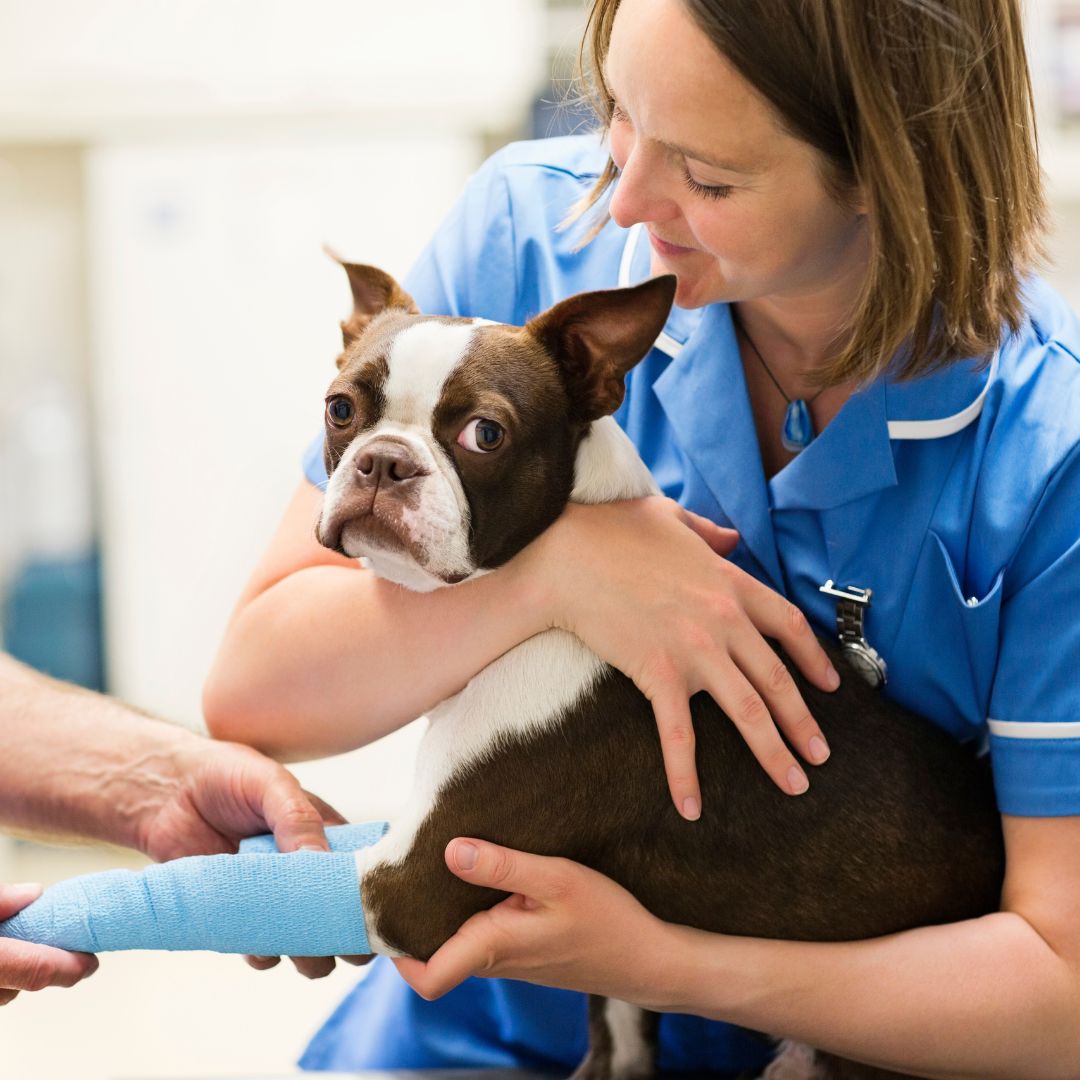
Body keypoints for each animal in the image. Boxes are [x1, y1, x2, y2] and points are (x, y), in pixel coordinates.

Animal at [313, 261, 1002, 1080]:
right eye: (340, 409)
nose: (385, 461)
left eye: (485, 434)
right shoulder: (616, 1006)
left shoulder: (413, 883)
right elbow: (618, 1040)